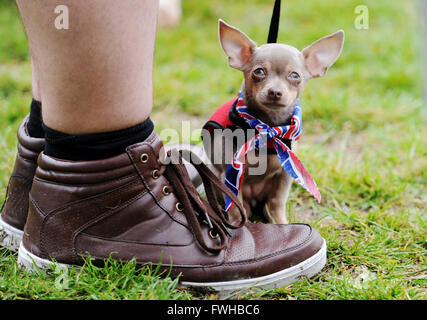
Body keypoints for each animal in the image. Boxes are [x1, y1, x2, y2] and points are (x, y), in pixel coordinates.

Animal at [204, 20, 344, 224]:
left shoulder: (284, 176)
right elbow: (237, 208)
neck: (267, 128)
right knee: (244, 206)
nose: (275, 92)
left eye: (294, 75)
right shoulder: (229, 175)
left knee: (265, 207)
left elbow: (277, 204)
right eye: (259, 72)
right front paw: (240, 226)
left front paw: (282, 224)